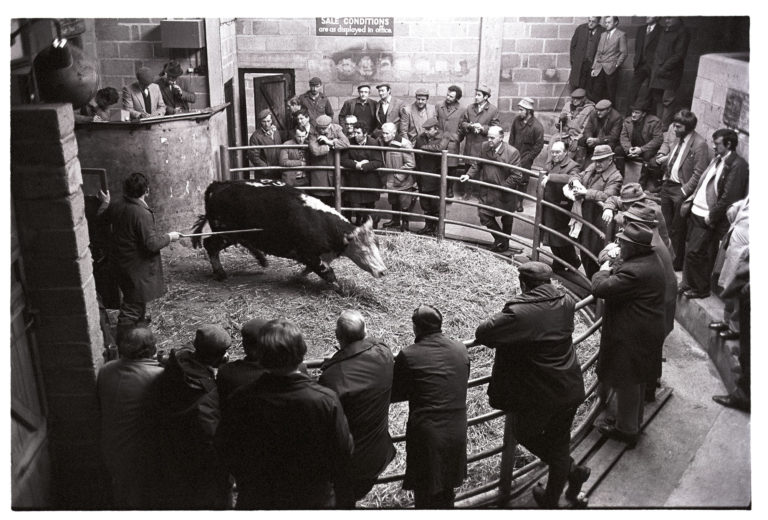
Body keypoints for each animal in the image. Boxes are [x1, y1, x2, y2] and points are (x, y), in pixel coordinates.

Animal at [190, 180, 388, 284]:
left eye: (377, 246)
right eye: (363, 250)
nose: (383, 271)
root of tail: (219, 185)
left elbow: (309, 270)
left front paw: (296, 277)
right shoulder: (309, 254)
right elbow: (328, 274)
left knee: (244, 242)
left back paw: (262, 259)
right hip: (225, 232)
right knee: (210, 245)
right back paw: (221, 273)